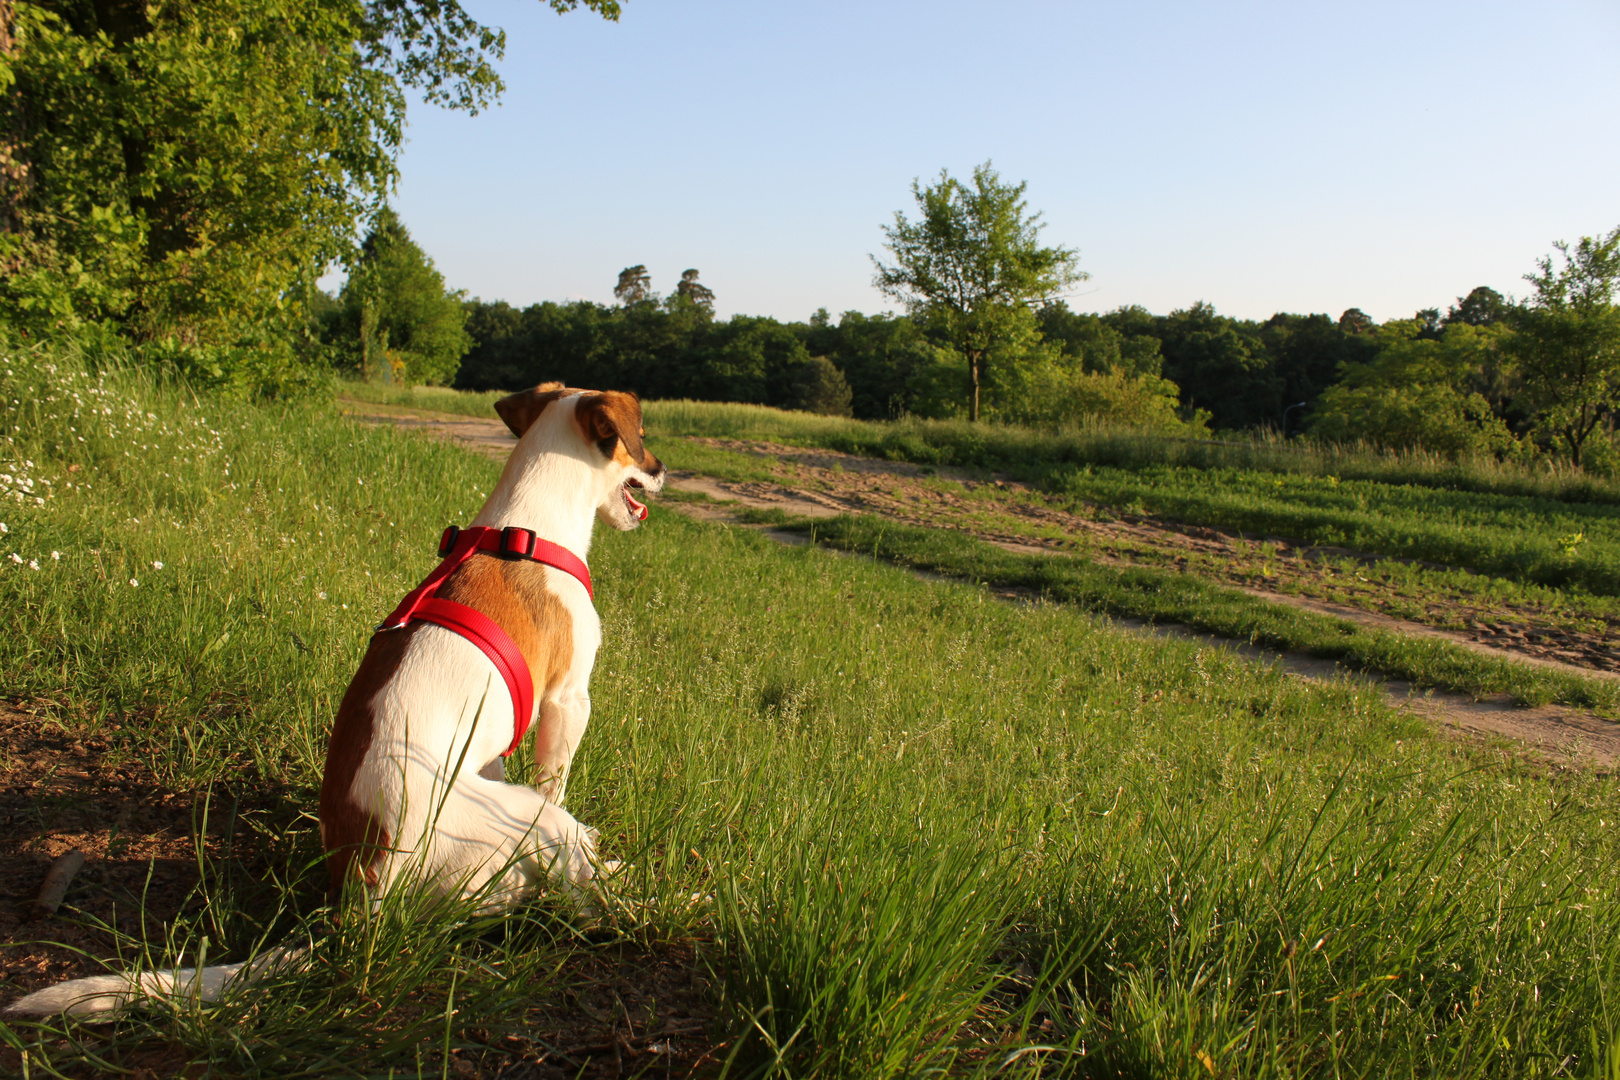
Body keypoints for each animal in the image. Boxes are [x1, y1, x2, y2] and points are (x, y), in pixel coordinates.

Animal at [6, 383, 664, 1016]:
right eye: (640, 442)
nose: (661, 471)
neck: (523, 529)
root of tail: (366, 887)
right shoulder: (567, 701)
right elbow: (559, 775)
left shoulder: (491, 749)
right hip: (532, 820)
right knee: (586, 893)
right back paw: (644, 893)